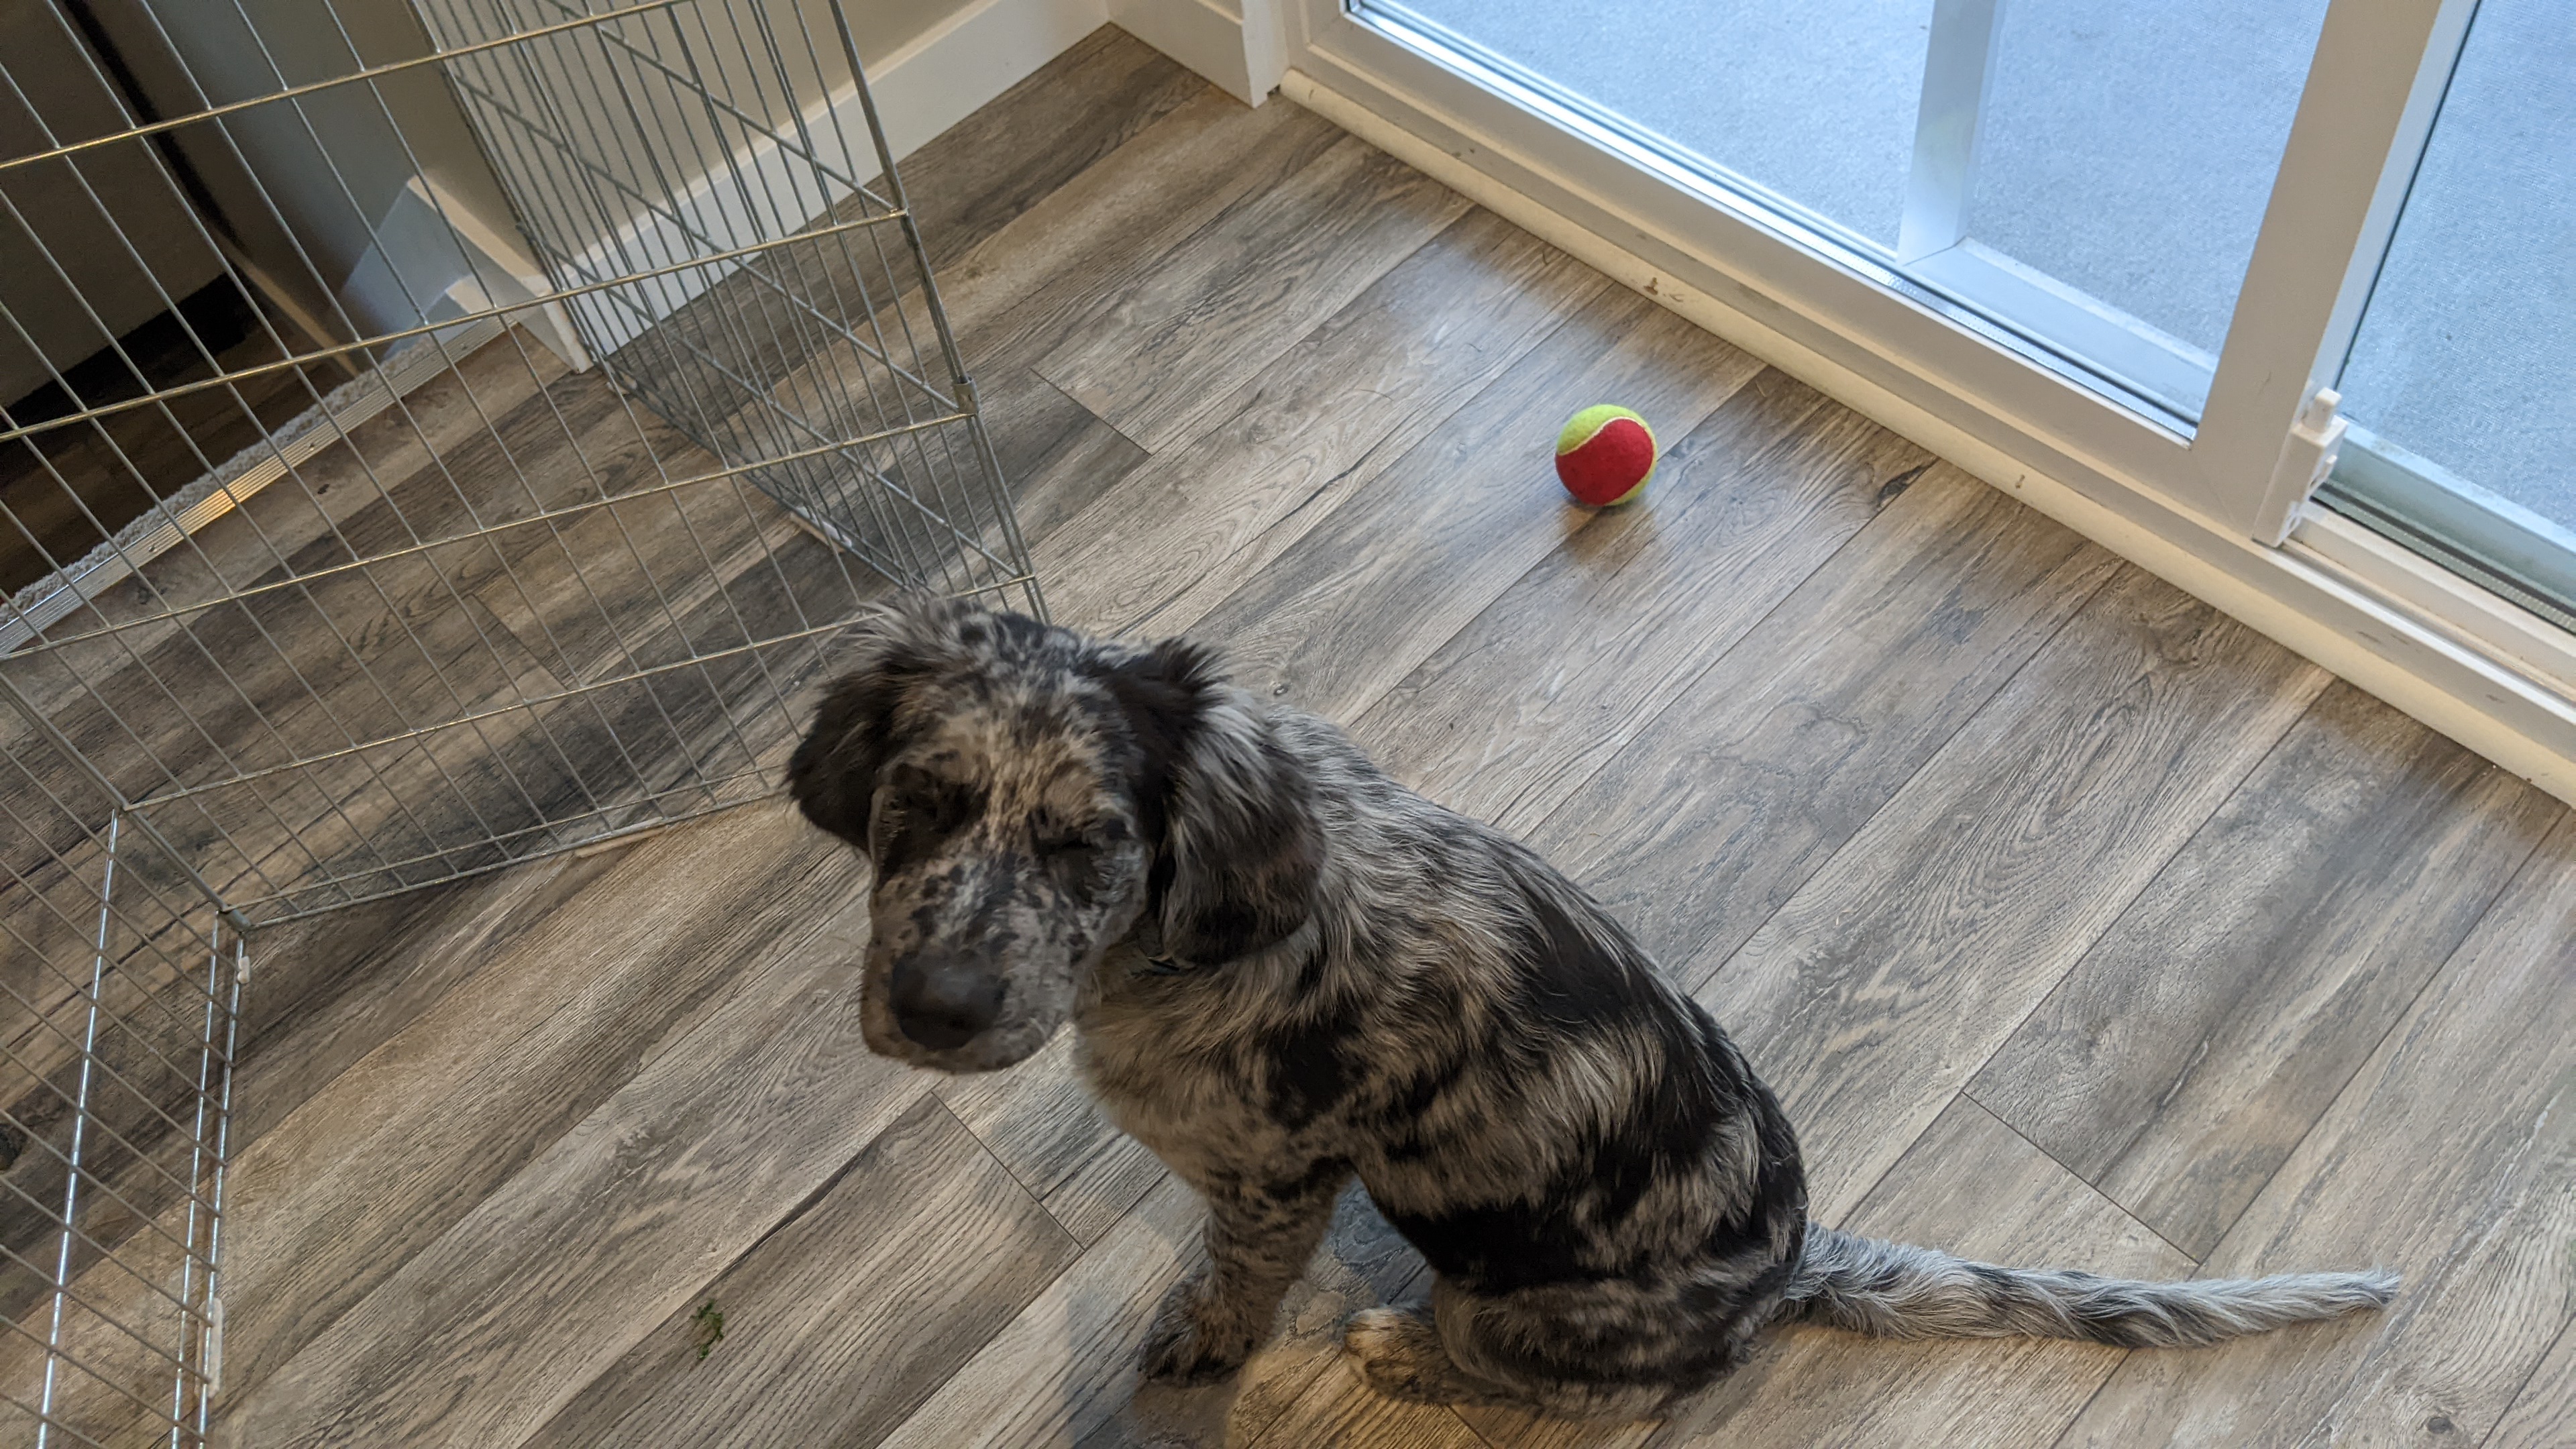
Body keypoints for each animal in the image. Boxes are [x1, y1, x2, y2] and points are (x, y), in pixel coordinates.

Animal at [785, 594, 2396, 1420]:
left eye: (1091, 844)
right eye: (921, 803)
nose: (933, 1007)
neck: (1177, 938)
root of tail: (1787, 1279)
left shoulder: (1276, 1177)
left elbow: (1236, 1282)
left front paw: (1204, 1339)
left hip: (1500, 1304)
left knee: (1532, 1390)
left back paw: (1406, 1354)